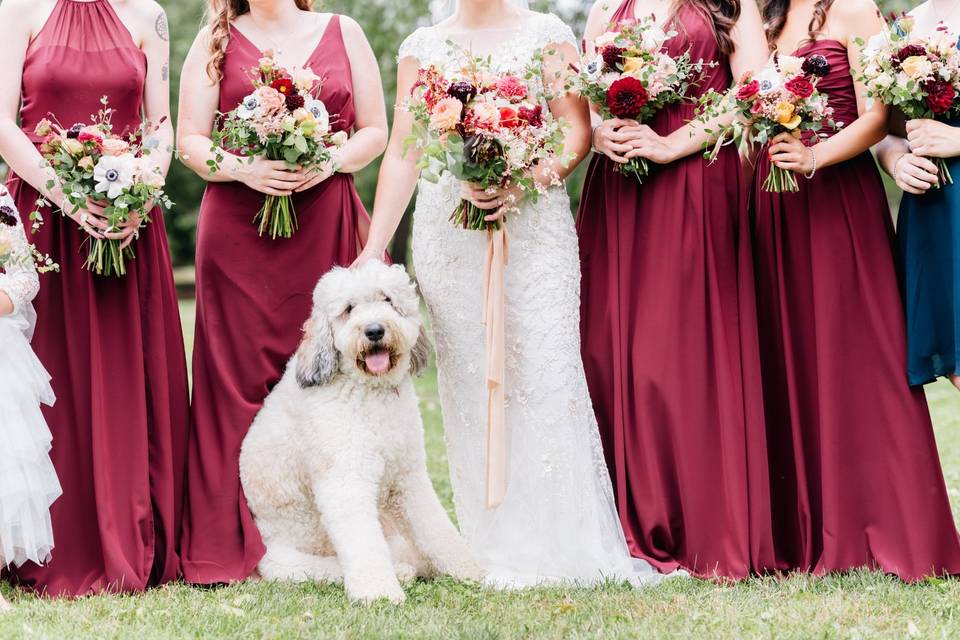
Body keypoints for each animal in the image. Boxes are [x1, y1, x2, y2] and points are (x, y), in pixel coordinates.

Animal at [237, 258, 484, 600]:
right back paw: (399, 572)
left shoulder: (408, 477)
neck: (370, 392)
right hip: (286, 561)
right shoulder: (345, 481)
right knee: (330, 569)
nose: (375, 330)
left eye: (388, 300)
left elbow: (435, 528)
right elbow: (363, 543)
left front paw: (469, 568)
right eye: (349, 309)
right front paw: (378, 591)